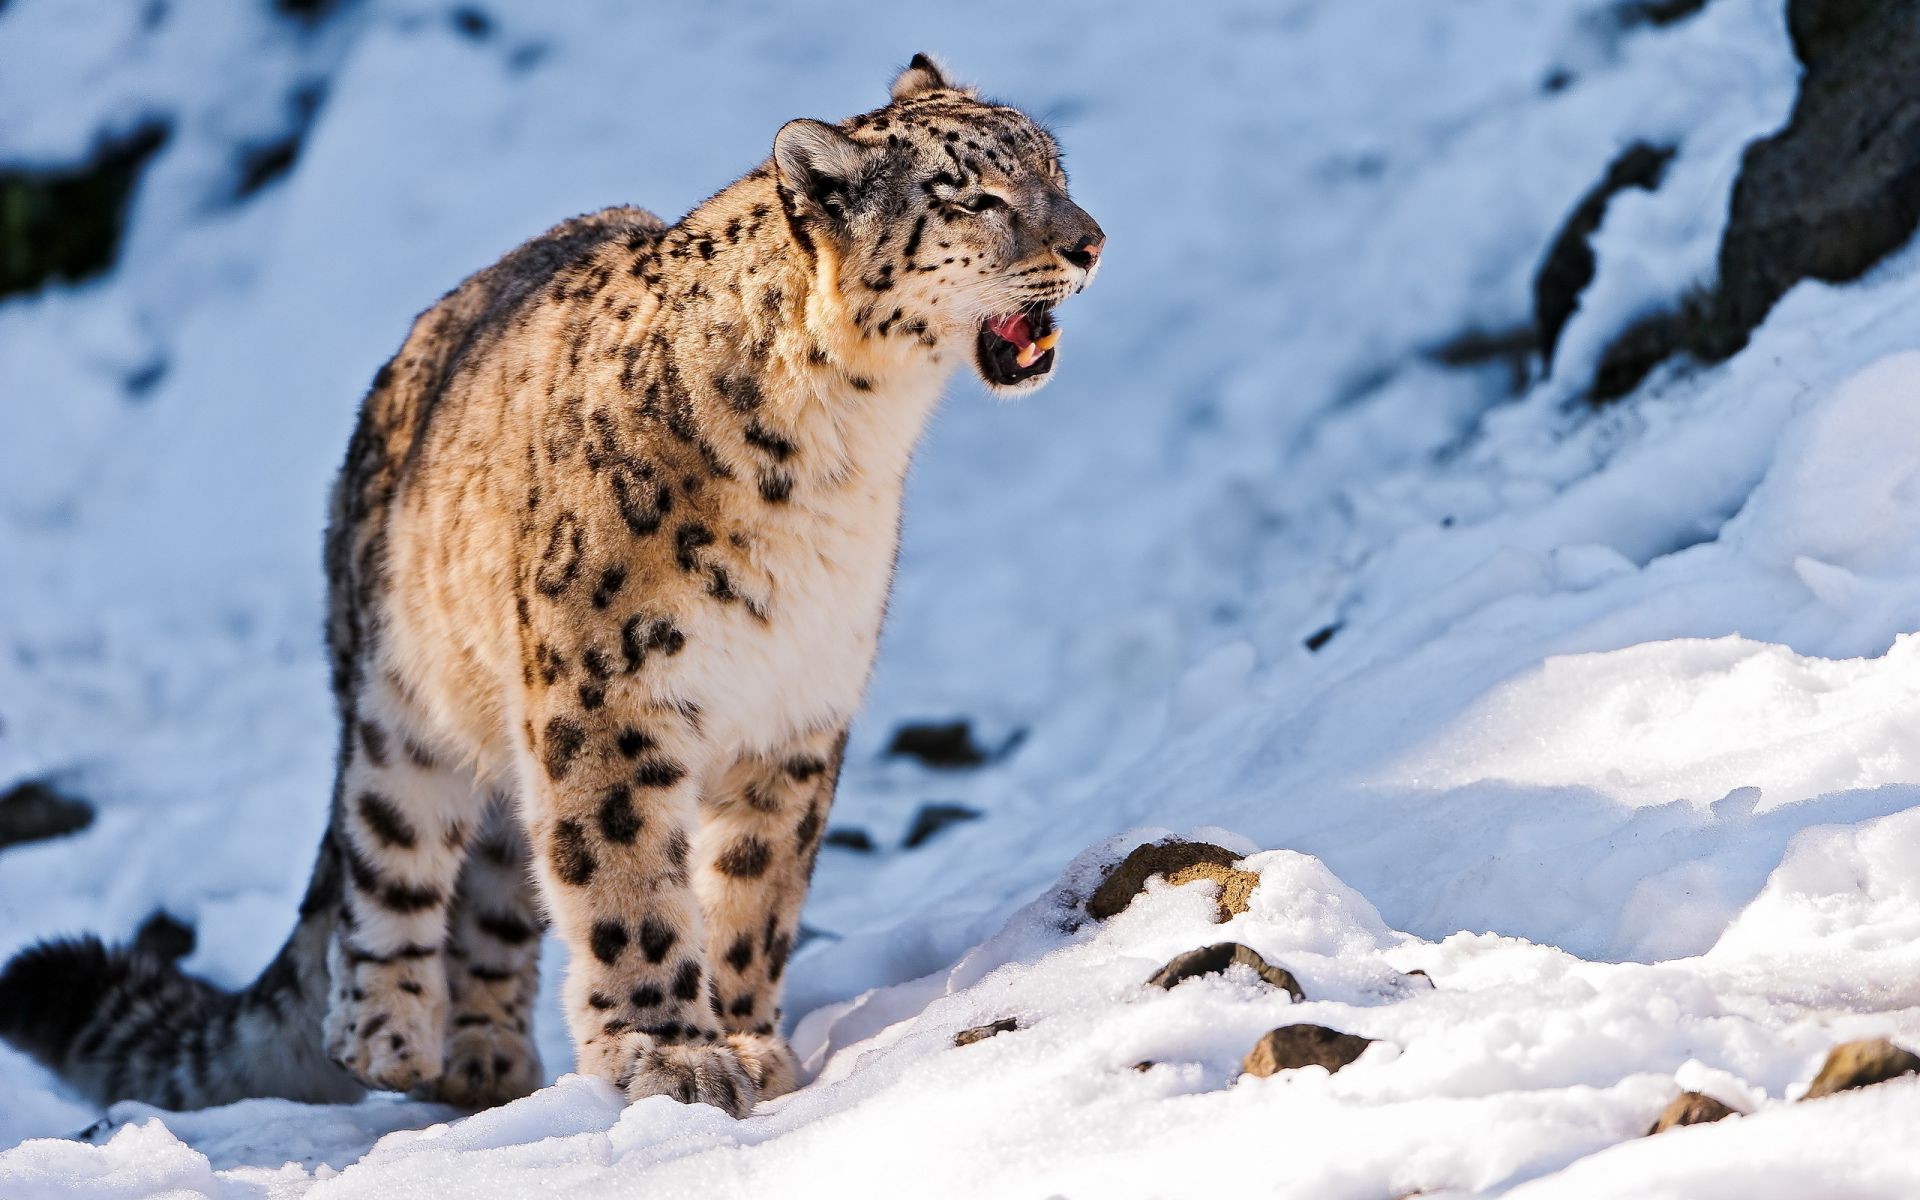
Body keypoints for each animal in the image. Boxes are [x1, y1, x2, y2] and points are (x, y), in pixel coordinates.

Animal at [0, 51, 1105, 1121]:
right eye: (976, 197)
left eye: (1055, 170)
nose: (1091, 242)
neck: (845, 456)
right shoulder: (611, 691)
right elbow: (627, 878)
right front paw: (674, 1057)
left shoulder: (797, 707)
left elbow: (756, 890)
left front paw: (748, 1038)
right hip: (408, 701)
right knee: (381, 846)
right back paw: (391, 1030)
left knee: (498, 882)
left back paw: (485, 1058)